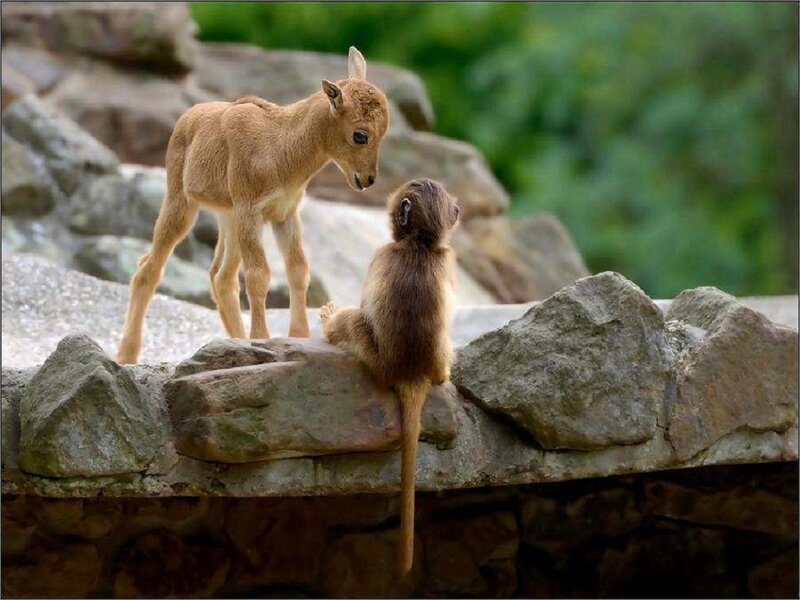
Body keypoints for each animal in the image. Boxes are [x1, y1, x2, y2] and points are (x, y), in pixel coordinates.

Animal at [321, 178, 460, 574]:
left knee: (354, 320)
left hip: (375, 359)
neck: (418, 243)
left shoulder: (381, 254)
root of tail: (411, 373)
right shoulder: (446, 260)